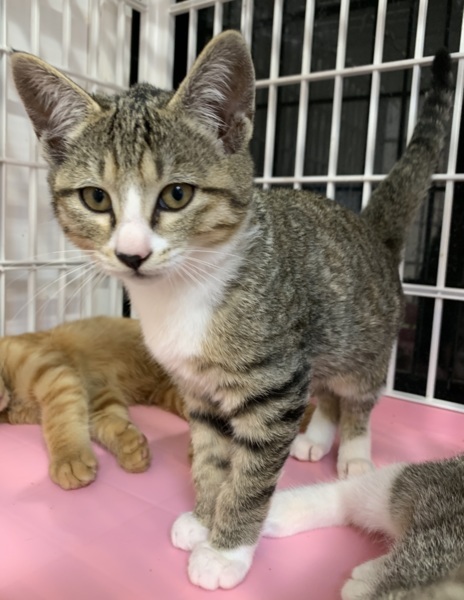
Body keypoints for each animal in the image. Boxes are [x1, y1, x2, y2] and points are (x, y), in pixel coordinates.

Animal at [0, 316, 185, 490]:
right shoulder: (95, 392)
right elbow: (105, 420)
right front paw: (128, 445)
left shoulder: (57, 376)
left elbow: (60, 423)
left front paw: (69, 457)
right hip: (174, 396)